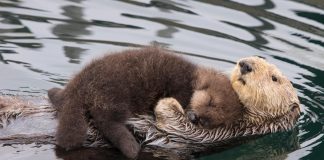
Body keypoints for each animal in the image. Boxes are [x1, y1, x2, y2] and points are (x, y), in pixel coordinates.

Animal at [48, 46, 243, 159]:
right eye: (210, 102)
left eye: (207, 121)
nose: (195, 117)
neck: (192, 78)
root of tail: (79, 88)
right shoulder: (181, 84)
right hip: (114, 95)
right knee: (107, 122)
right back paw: (131, 148)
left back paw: (54, 93)